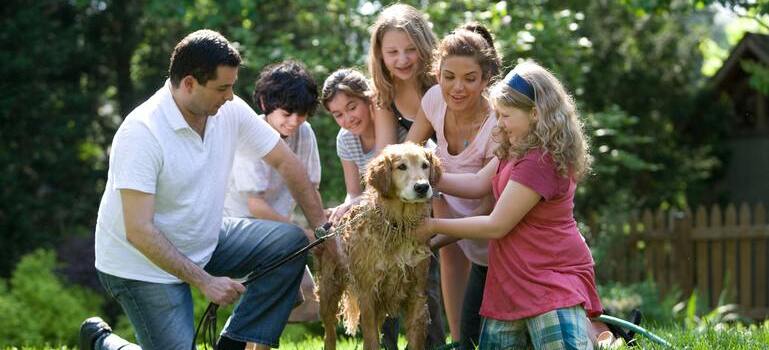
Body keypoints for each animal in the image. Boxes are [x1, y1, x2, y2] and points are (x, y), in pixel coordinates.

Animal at [316, 143, 440, 350]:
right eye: (401, 167)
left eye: (425, 165)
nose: (422, 187)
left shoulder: (417, 294)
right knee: (329, 334)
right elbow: (371, 339)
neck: (398, 226)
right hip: (328, 290)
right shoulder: (368, 295)